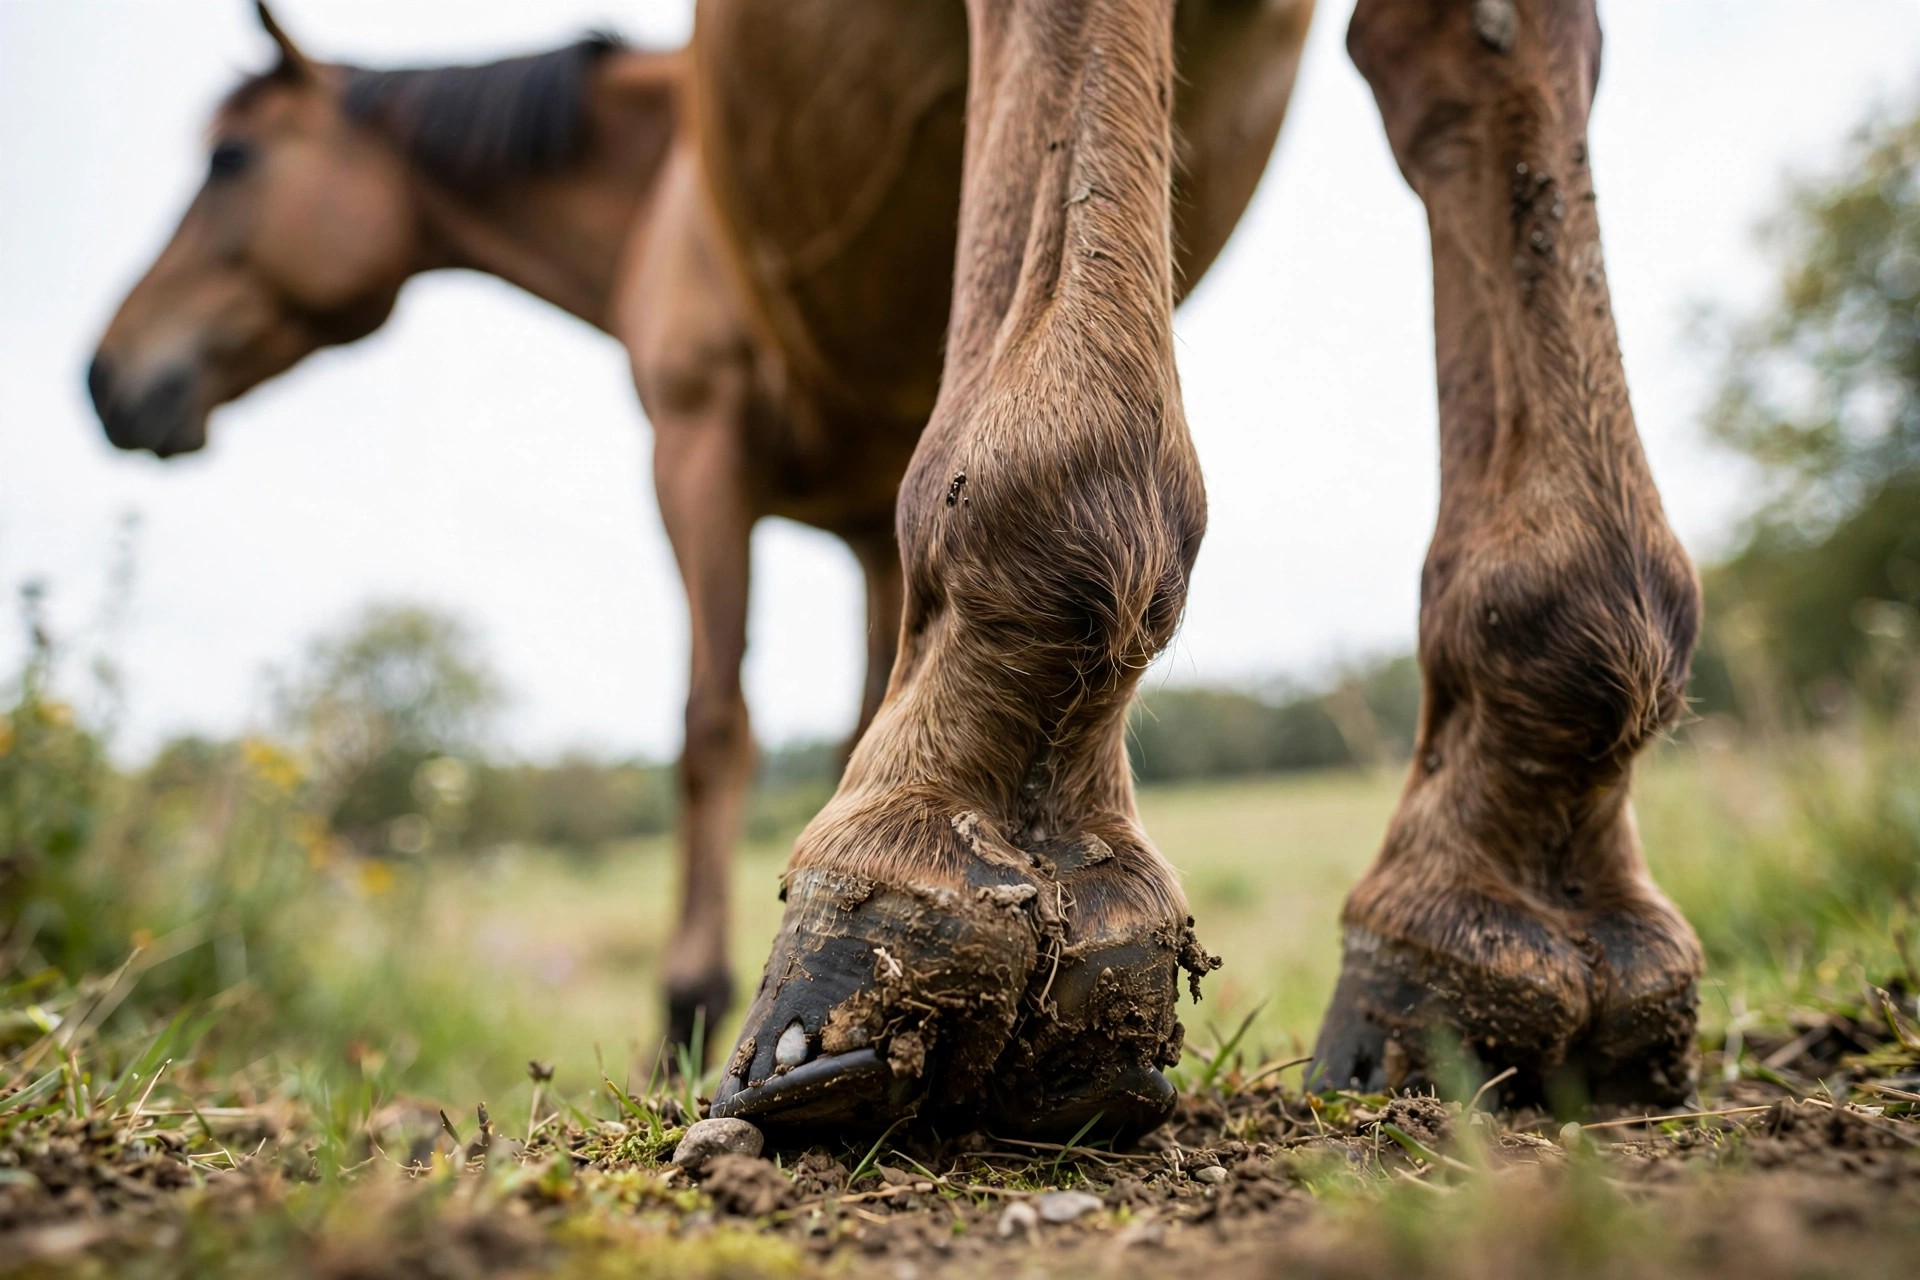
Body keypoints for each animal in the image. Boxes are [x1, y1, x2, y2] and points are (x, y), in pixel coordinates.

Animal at [88, 0, 1313, 1063]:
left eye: (229, 159)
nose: (105, 377)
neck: (661, 185)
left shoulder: (695, 443)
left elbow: (710, 727)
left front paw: (684, 1015)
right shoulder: (869, 518)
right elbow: (854, 702)